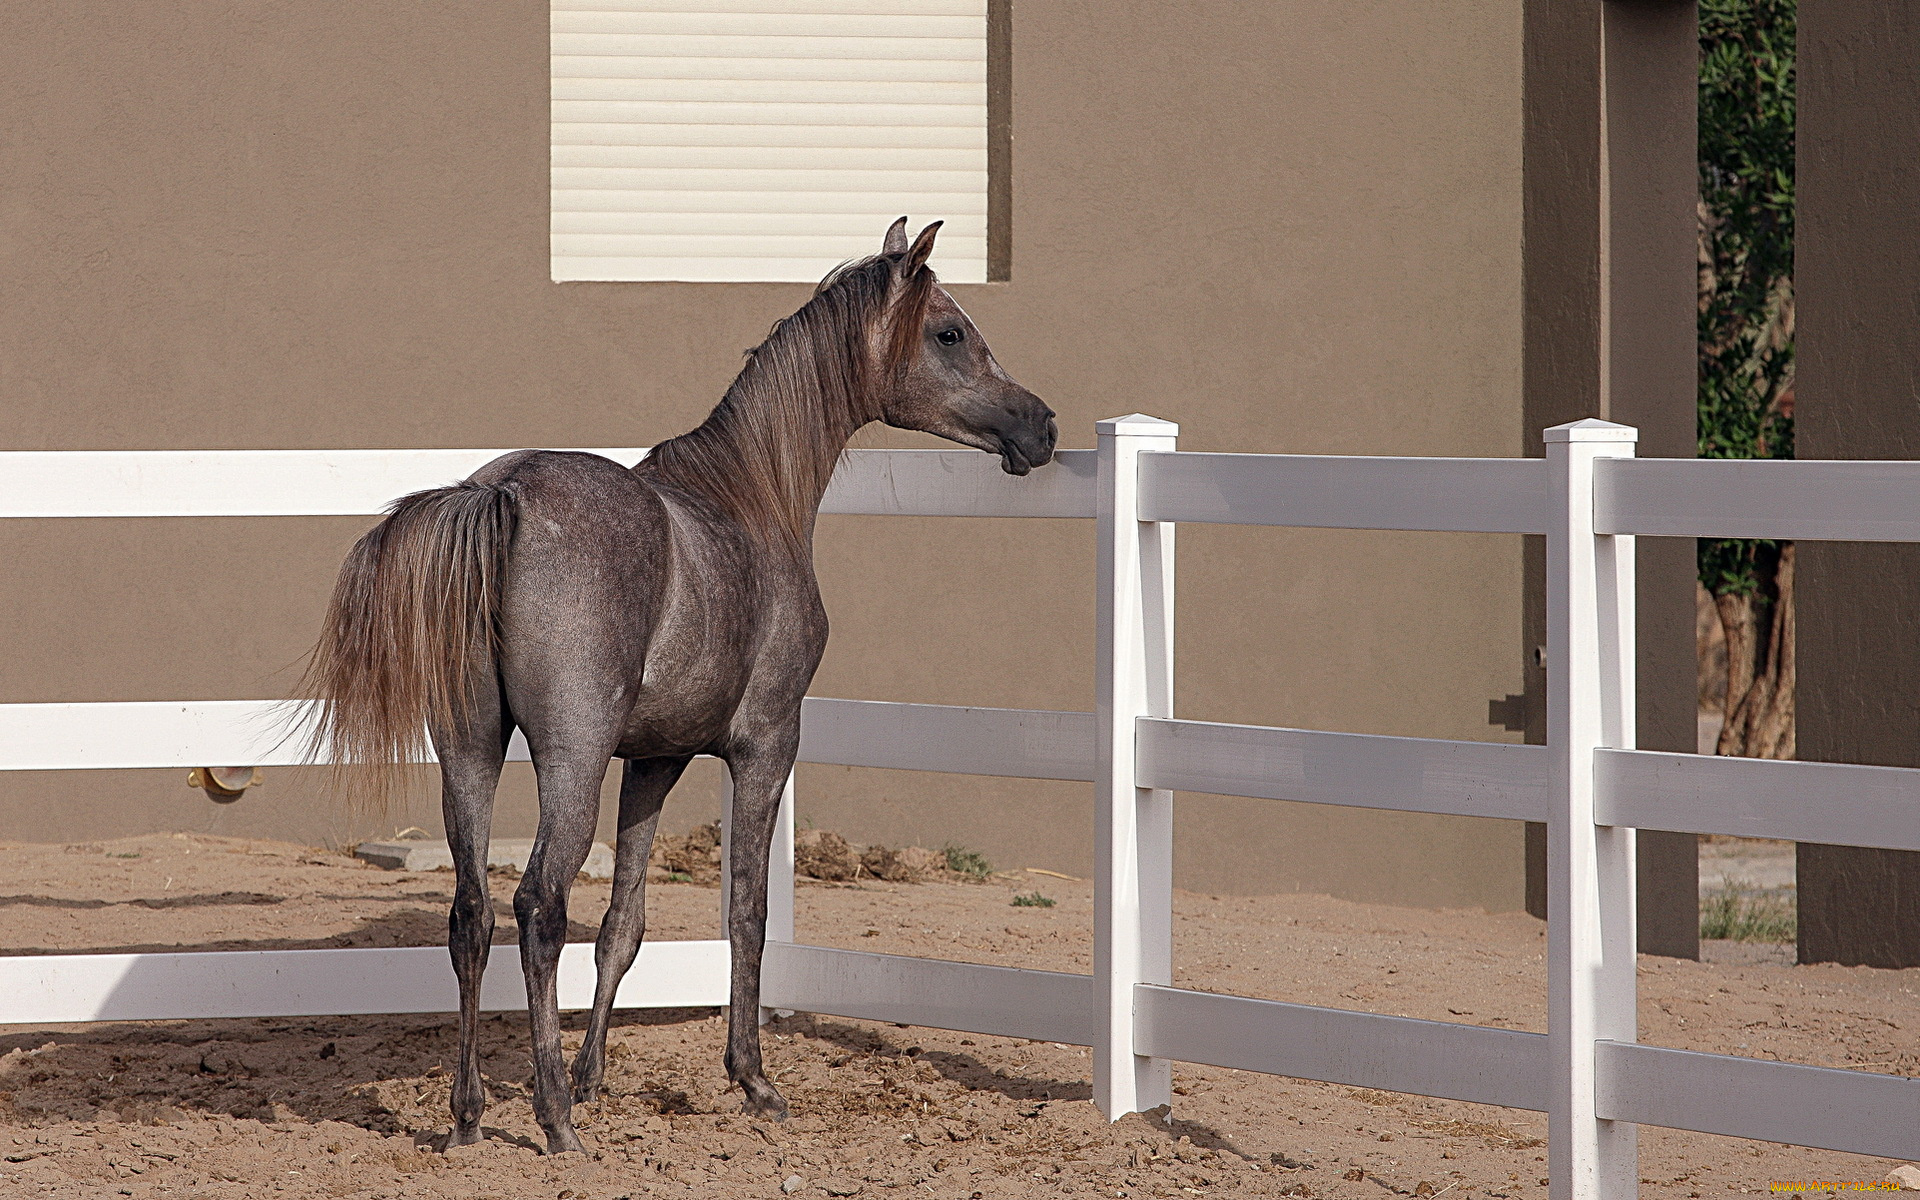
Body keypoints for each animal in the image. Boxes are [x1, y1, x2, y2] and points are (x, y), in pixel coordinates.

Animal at [301, 219, 1057, 1155]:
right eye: (950, 333)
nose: (1041, 425)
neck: (750, 498)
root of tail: (502, 494)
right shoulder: (764, 747)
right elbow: (746, 915)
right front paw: (750, 1078)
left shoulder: (653, 761)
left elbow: (624, 926)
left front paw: (595, 1076)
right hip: (572, 761)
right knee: (537, 907)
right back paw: (553, 1119)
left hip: (469, 755)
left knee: (471, 915)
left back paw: (471, 1116)